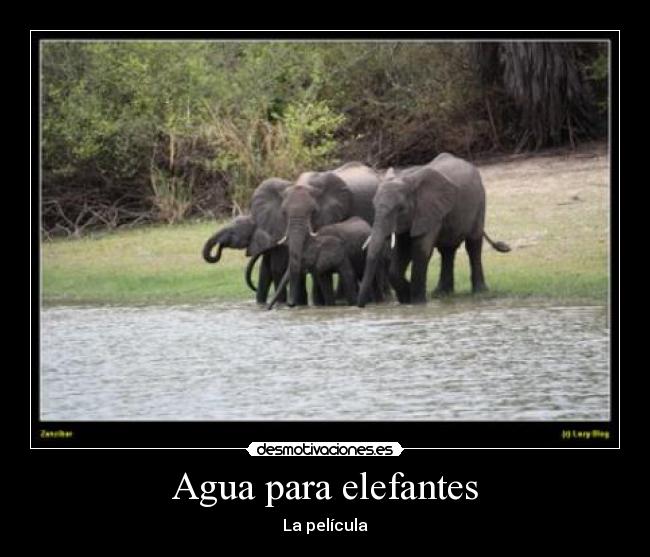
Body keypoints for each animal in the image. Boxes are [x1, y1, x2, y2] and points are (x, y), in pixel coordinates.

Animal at [357, 153, 511, 307]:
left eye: (400, 209)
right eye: (373, 205)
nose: (361, 306)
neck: (408, 180)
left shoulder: (428, 212)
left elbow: (421, 251)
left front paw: (418, 302)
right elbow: (401, 252)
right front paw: (406, 298)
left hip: (479, 202)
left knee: (473, 245)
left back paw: (480, 292)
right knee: (447, 250)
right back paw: (441, 294)